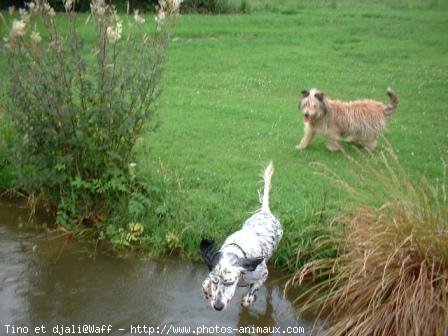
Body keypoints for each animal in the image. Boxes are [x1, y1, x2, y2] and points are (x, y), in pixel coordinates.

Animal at [200, 161, 282, 312]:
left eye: (229, 283)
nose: (218, 306)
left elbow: (253, 291)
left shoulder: (263, 273)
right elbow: (205, 284)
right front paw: (208, 292)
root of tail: (265, 211)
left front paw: (248, 299)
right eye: (215, 281)